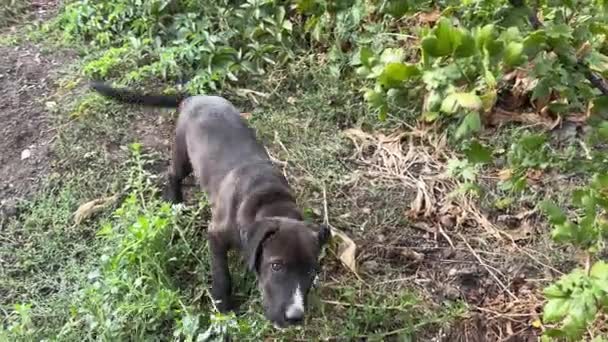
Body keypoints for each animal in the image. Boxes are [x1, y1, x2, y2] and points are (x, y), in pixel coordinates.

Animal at [90, 82, 330, 328]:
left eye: (312, 272)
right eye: (276, 266)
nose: (295, 317)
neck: (270, 202)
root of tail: (195, 96)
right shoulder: (216, 235)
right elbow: (221, 272)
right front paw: (222, 303)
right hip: (182, 153)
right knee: (173, 174)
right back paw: (175, 203)